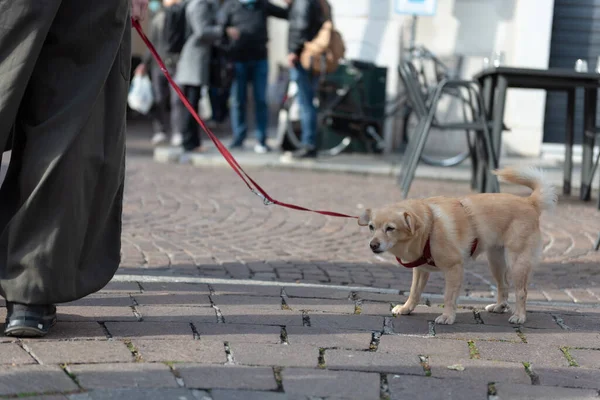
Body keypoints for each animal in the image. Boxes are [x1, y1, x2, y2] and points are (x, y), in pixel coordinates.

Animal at [358, 166, 556, 324]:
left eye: (390, 228)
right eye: (371, 227)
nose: (373, 245)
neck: (429, 227)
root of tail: (529, 202)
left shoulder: (454, 269)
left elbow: (448, 296)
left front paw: (447, 316)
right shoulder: (420, 270)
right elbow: (414, 292)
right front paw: (406, 308)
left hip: (517, 264)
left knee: (521, 291)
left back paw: (520, 316)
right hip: (496, 263)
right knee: (504, 285)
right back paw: (499, 306)